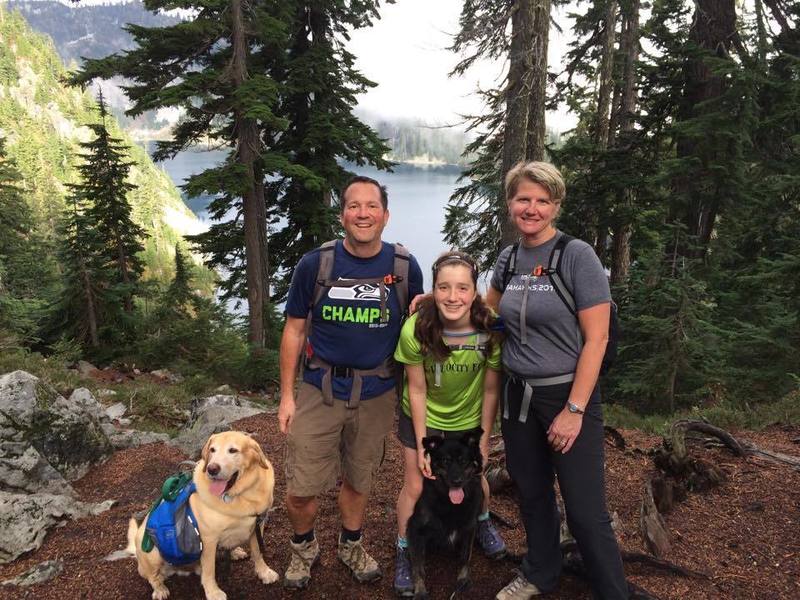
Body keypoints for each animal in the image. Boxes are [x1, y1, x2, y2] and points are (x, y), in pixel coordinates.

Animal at [406, 428, 482, 596]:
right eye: (445, 461)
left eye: (463, 461)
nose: (457, 481)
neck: (449, 503)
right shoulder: (415, 529)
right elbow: (418, 566)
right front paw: (420, 592)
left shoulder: (469, 527)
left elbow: (465, 556)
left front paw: (462, 579)